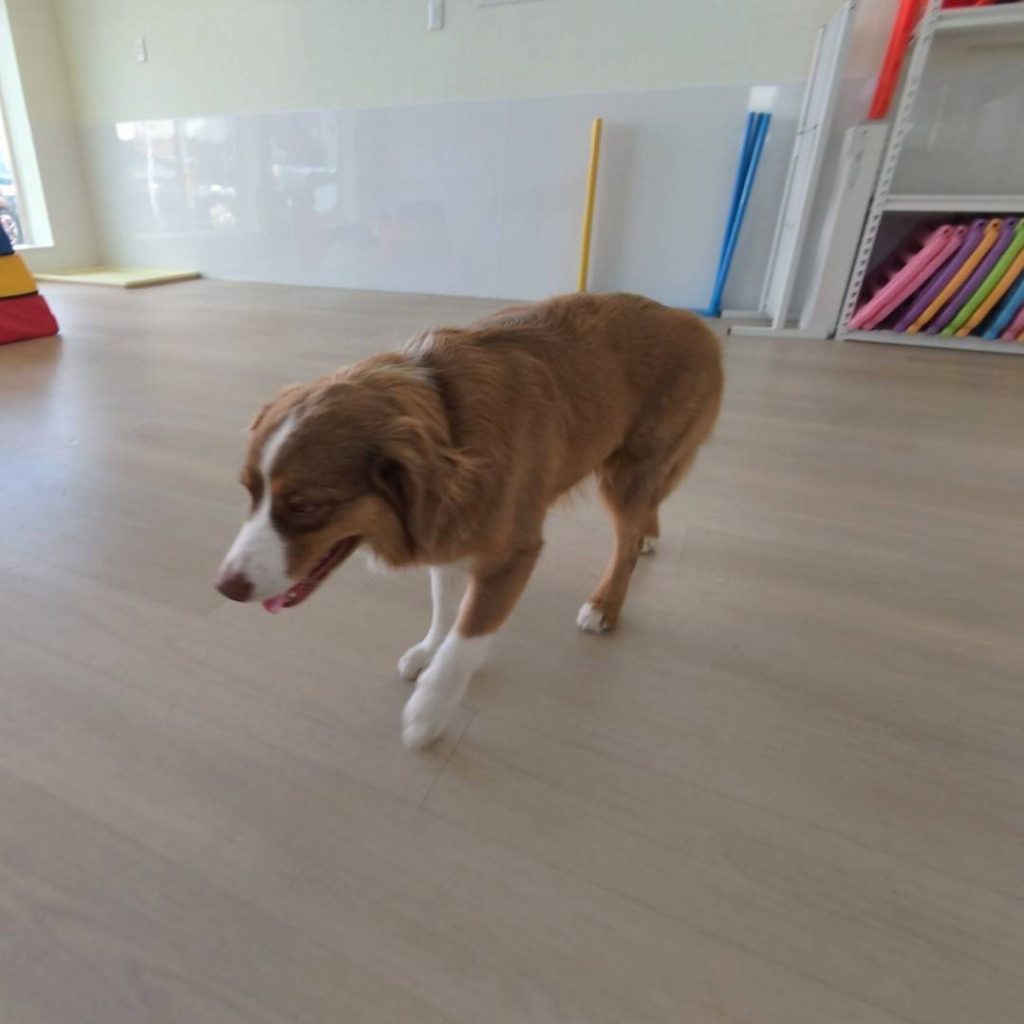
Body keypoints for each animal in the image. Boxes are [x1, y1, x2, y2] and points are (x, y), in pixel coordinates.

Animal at [215, 292, 723, 749]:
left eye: (305, 508)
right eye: (249, 492)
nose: (225, 588)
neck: (450, 419)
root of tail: (692, 322)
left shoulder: (514, 555)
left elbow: (468, 636)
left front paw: (431, 708)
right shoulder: (449, 533)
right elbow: (445, 610)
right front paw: (429, 650)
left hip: (629, 475)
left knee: (626, 543)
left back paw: (606, 603)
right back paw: (650, 536)